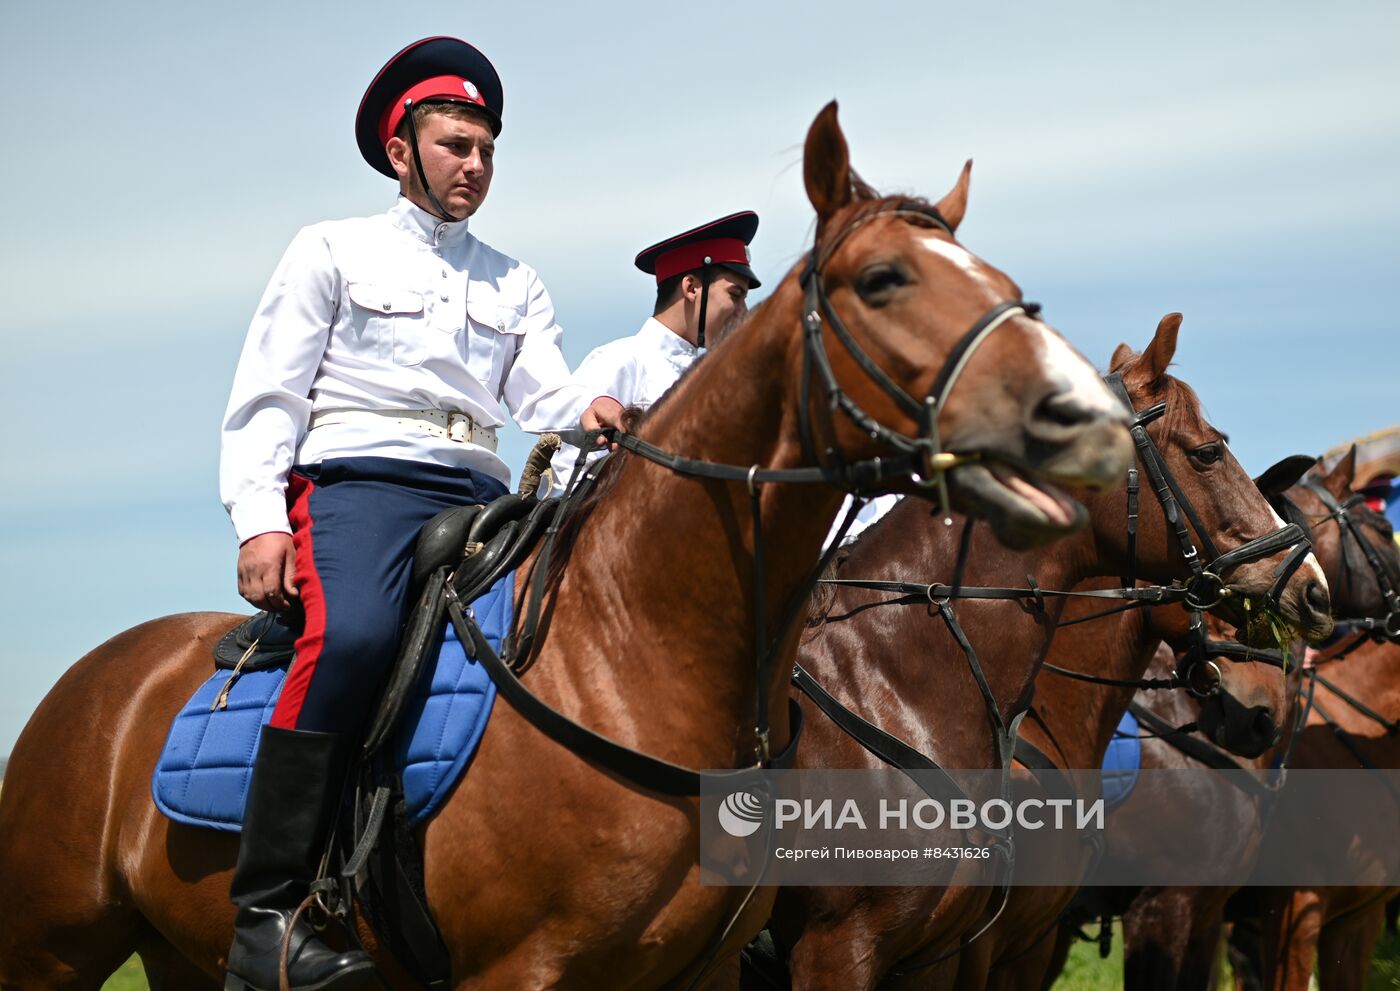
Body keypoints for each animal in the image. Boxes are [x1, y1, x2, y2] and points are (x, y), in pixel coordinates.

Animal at [0, 102, 1125, 991]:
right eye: (883, 277)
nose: (1084, 419)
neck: (633, 654)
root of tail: (90, 680)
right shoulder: (532, 971)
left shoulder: (713, 968)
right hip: (50, 950)